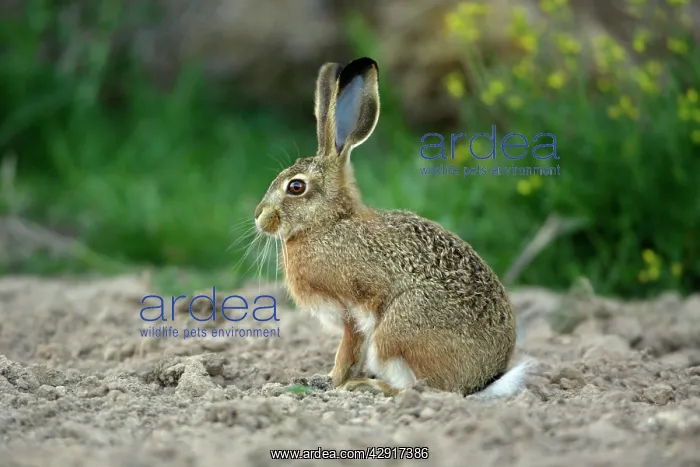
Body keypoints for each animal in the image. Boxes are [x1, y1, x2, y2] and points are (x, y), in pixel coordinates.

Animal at [254, 57, 533, 398]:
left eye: (296, 187)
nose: (260, 217)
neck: (330, 221)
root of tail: (481, 381)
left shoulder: (352, 310)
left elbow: (347, 351)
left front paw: (332, 382)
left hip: (398, 327)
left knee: (424, 388)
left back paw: (369, 387)